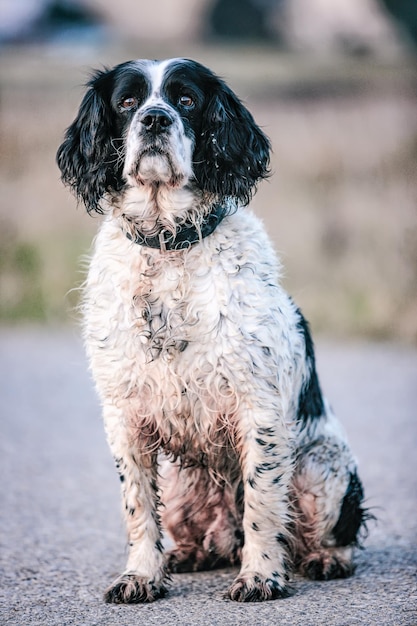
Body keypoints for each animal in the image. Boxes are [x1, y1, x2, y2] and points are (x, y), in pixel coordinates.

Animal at [57, 57, 366, 600]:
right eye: (127, 102)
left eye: (186, 100)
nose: (155, 119)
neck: (169, 245)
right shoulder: (123, 413)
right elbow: (138, 508)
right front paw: (141, 576)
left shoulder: (257, 407)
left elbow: (263, 503)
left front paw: (260, 576)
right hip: (184, 483)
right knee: (196, 531)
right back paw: (185, 554)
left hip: (321, 465)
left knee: (327, 529)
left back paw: (326, 558)